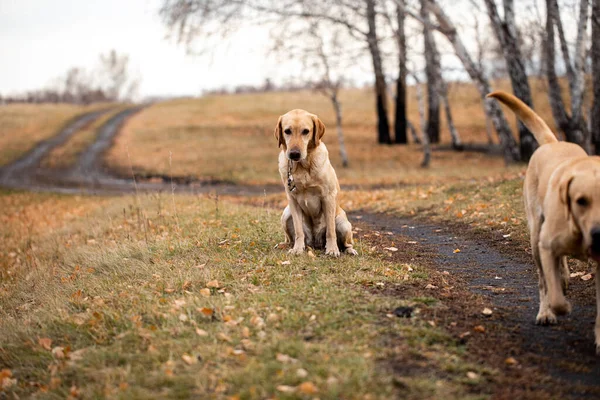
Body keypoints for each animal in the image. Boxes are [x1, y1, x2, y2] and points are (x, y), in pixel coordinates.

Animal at [276, 108, 356, 256]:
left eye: (306, 131)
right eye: (287, 131)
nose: (294, 154)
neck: (302, 167)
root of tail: (315, 243)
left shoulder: (328, 197)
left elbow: (330, 231)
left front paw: (332, 249)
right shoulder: (292, 200)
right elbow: (298, 231)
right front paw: (297, 249)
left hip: (342, 222)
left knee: (345, 243)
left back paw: (349, 250)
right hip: (286, 214)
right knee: (290, 238)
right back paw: (286, 245)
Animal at [488, 90, 600, 354]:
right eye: (581, 201)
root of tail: (552, 143)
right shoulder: (546, 246)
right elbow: (555, 295)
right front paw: (558, 307)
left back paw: (564, 277)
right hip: (535, 236)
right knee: (542, 280)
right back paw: (545, 312)